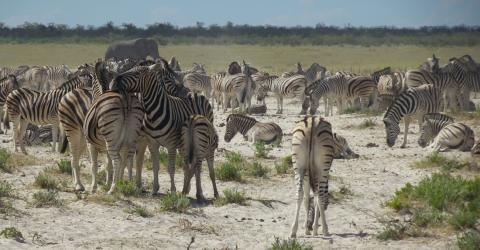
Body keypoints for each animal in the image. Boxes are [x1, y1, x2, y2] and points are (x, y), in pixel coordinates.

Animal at [110, 58, 214, 193]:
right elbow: (151, 165)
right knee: (187, 162)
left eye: (137, 73)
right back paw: (187, 188)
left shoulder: (167, 144)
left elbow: (169, 167)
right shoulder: (150, 143)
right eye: (130, 69)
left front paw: (173, 190)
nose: (114, 81)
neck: (152, 113)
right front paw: (150, 188)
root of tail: (198, 94)